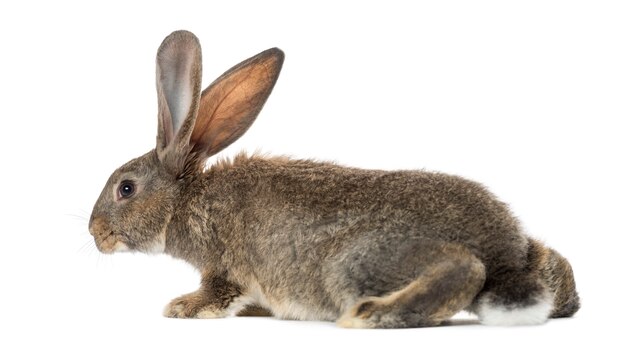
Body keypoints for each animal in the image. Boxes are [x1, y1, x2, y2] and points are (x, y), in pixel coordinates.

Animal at [86, 30, 576, 328]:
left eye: (126, 188)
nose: (95, 233)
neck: (185, 200)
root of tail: (505, 255)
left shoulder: (223, 266)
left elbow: (217, 291)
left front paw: (181, 307)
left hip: (352, 263)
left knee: (463, 269)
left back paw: (368, 314)